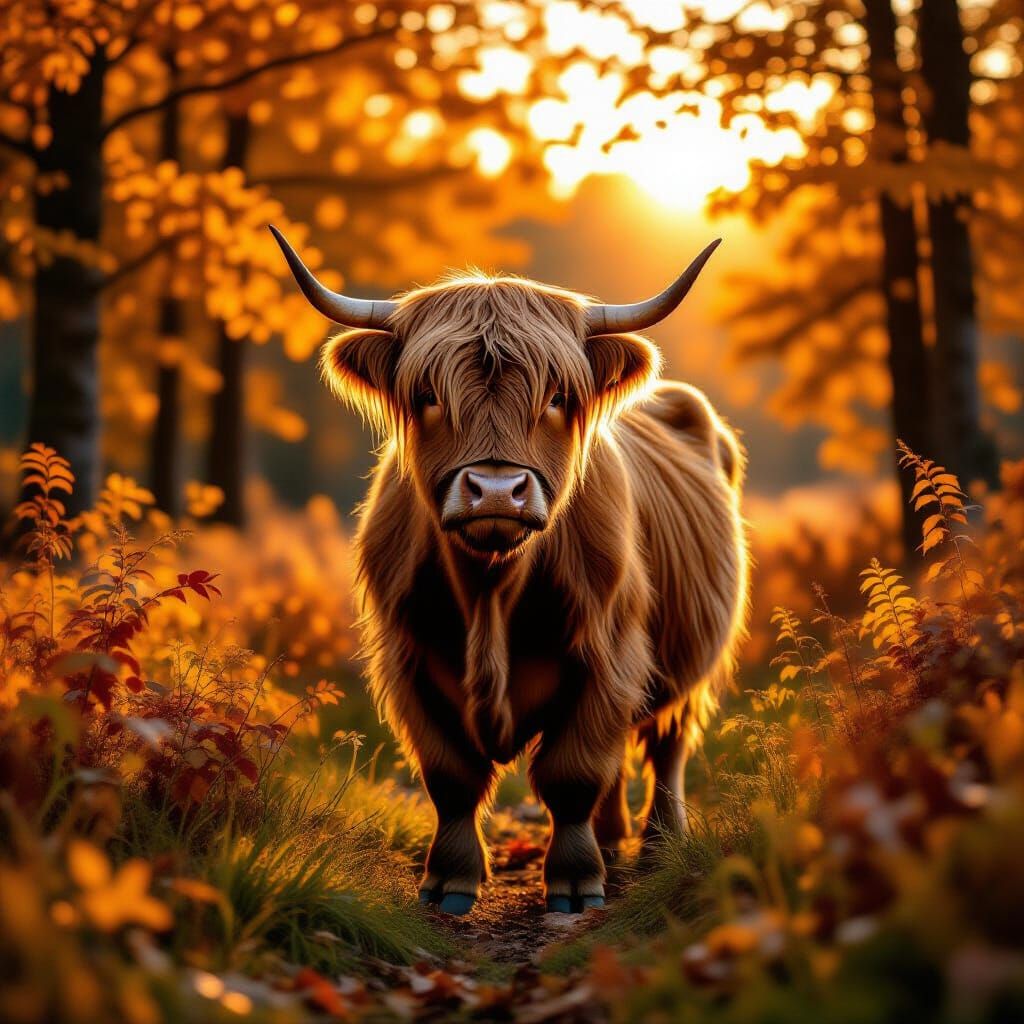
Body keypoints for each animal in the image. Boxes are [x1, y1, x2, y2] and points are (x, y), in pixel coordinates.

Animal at [271, 226, 748, 916]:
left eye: (557, 397)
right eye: (427, 396)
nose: (496, 491)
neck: (491, 594)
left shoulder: (609, 655)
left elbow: (572, 773)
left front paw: (575, 883)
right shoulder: (411, 661)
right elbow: (452, 776)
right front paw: (449, 880)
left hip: (687, 666)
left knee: (667, 748)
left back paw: (659, 847)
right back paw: (613, 839)